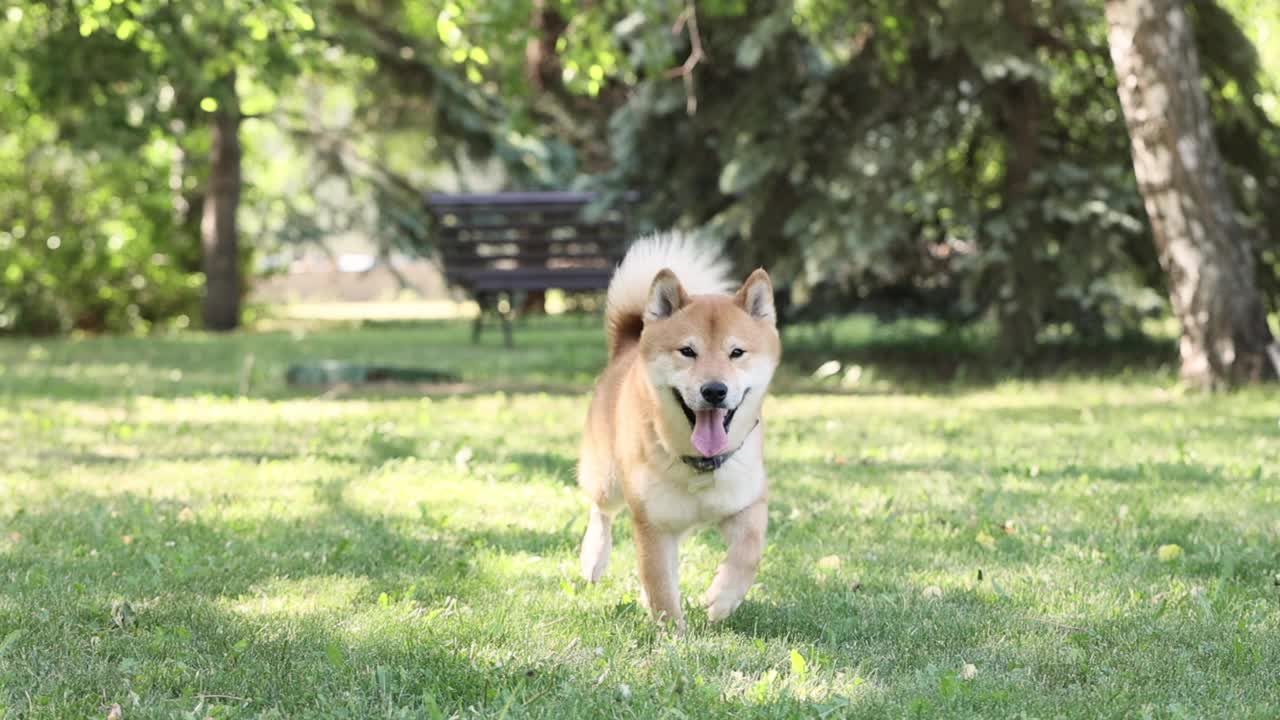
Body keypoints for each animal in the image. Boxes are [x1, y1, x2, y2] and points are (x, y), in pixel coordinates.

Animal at [578, 230, 778, 627]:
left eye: (736, 353)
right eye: (687, 351)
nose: (714, 390)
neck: (700, 464)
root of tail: (627, 346)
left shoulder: (747, 503)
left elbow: (748, 553)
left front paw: (722, 599)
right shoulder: (653, 525)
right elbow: (661, 587)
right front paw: (674, 634)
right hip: (608, 480)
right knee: (600, 510)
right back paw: (594, 557)